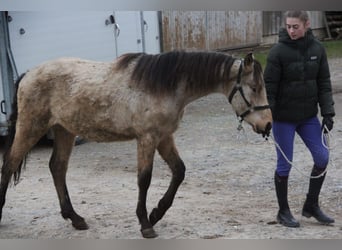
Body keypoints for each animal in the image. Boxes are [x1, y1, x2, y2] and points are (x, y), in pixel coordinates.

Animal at [0, 50, 272, 238]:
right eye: (254, 87)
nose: (268, 125)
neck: (166, 85)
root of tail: (27, 74)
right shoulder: (147, 138)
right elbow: (144, 179)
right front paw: (145, 224)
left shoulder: (164, 137)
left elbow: (179, 171)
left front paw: (156, 213)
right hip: (31, 127)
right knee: (10, 164)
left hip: (64, 131)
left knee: (57, 168)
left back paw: (75, 218)